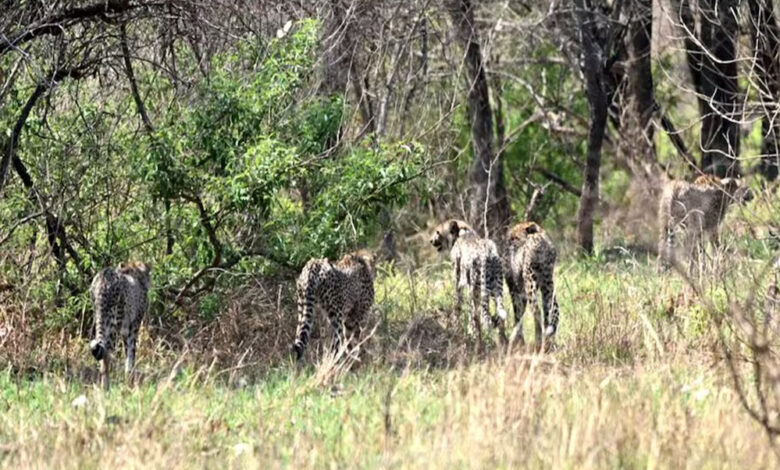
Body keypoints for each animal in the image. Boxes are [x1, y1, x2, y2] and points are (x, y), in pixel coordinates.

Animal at [89, 260, 151, 390]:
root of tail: (105, 274)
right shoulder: (133, 327)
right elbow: (131, 353)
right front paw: (130, 381)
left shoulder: (125, 331)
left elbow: (127, 353)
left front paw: (128, 379)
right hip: (113, 325)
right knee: (107, 353)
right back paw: (106, 388)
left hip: (99, 318)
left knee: (102, 352)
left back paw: (103, 386)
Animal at [430, 218, 508, 346]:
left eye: (438, 232)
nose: (431, 240)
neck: (462, 232)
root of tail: (489, 253)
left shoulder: (458, 283)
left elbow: (457, 306)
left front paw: (456, 327)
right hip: (496, 290)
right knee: (500, 316)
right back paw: (503, 342)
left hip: (475, 291)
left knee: (476, 316)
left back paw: (475, 338)